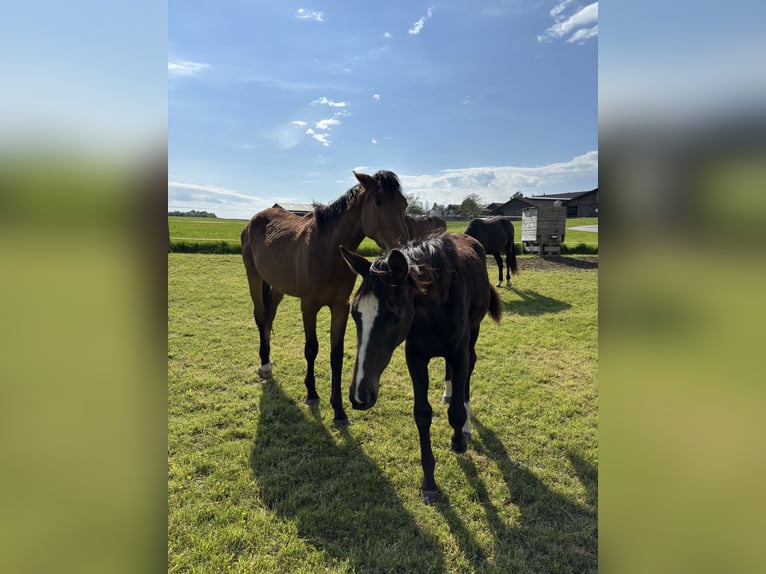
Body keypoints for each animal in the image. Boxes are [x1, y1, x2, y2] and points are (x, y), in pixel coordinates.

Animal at [241, 170, 409, 427]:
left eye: (404, 204)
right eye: (378, 200)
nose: (402, 248)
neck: (328, 251)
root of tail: (255, 220)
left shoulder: (340, 307)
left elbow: (336, 355)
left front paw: (339, 410)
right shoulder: (308, 306)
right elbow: (311, 349)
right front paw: (312, 394)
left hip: (278, 287)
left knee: (269, 318)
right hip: (254, 277)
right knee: (260, 317)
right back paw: (264, 365)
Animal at [340, 233, 502, 502]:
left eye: (396, 317)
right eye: (354, 313)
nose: (360, 395)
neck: (435, 310)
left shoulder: (459, 353)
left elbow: (456, 411)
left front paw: (459, 441)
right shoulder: (415, 359)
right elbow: (422, 414)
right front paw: (429, 482)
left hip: (473, 333)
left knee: (469, 372)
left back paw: (466, 426)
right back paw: (447, 393)